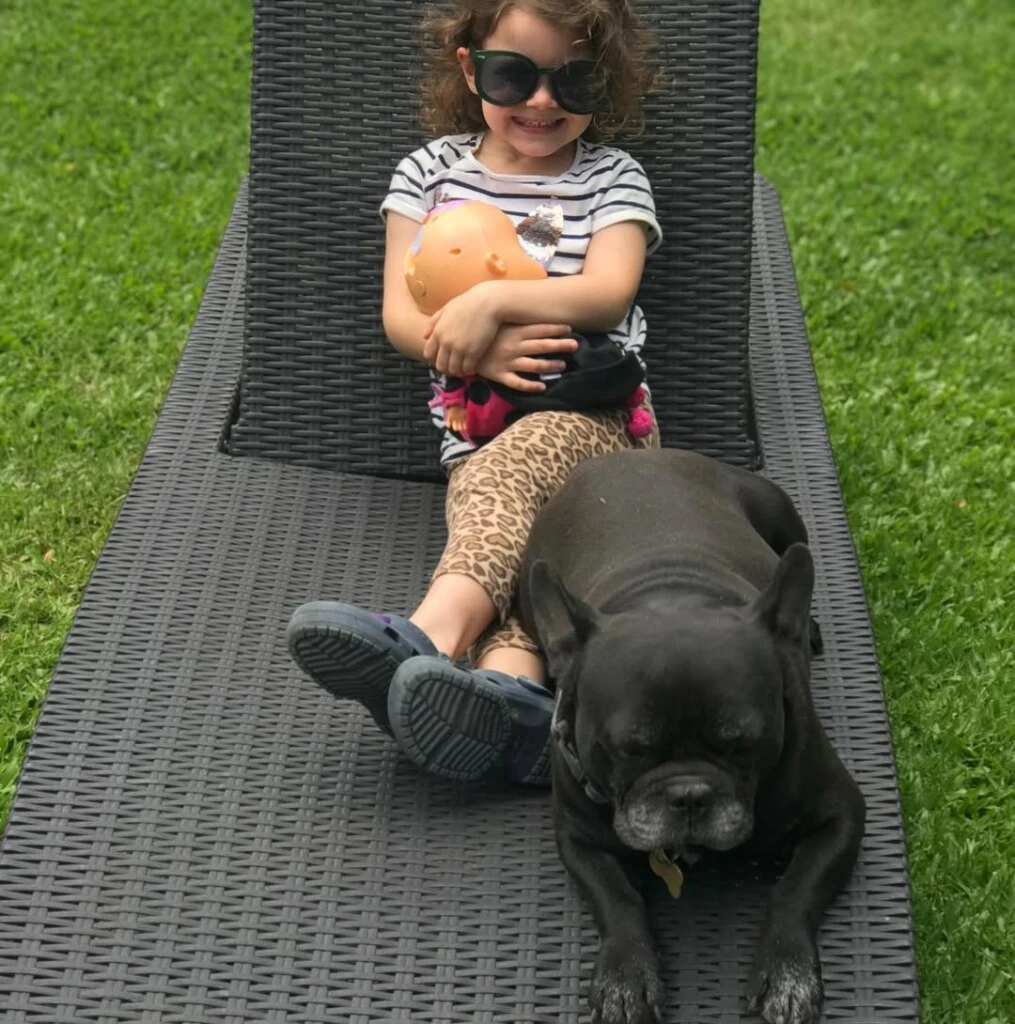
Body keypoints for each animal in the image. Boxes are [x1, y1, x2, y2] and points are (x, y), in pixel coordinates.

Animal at [518, 448, 865, 1024]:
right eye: (629, 749)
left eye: (743, 743)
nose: (689, 795)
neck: (673, 596)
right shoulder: (577, 839)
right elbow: (617, 898)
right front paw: (626, 976)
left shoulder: (841, 815)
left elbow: (795, 889)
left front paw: (787, 972)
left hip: (781, 512)